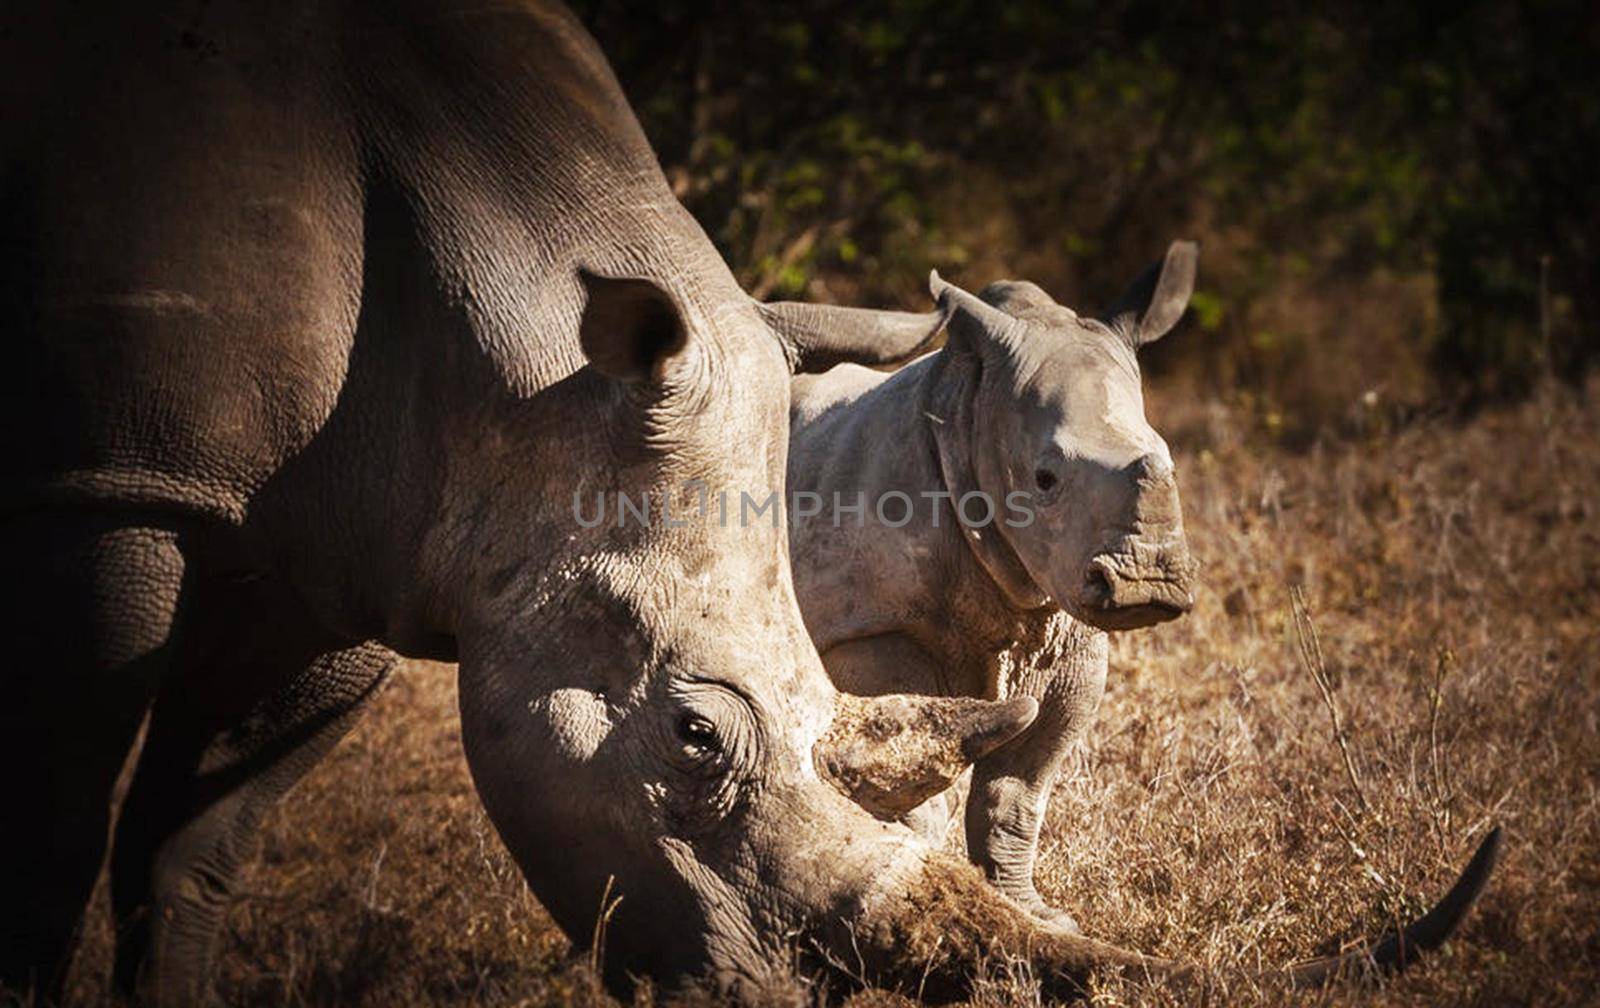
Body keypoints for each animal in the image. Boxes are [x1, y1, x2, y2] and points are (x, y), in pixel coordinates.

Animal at [787, 244, 1203, 934]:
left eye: (1170, 459)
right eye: (1044, 479)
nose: (1145, 583)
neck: (969, 419)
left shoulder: (1068, 632)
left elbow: (1018, 792)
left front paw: (1035, 916)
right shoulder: (866, 624)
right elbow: (895, 754)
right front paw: (905, 864)